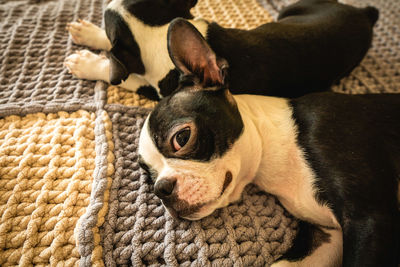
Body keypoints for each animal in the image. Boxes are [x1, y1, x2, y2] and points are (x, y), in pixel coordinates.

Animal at [65, 0, 378, 100]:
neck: (158, 32)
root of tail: (364, 13)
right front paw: (87, 33)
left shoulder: (151, 86)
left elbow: (118, 70)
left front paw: (85, 63)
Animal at [138, 12, 400, 266]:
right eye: (149, 175)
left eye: (182, 138)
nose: (161, 189)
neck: (280, 143)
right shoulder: (326, 237)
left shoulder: (368, 219)